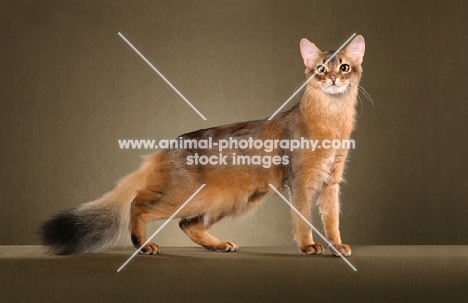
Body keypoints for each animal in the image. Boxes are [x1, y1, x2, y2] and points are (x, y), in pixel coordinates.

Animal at [42, 36, 366, 258]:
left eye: (344, 67)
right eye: (320, 69)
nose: (333, 78)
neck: (332, 121)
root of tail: (166, 147)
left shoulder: (331, 181)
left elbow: (332, 219)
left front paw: (337, 245)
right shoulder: (300, 181)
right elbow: (302, 218)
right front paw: (309, 245)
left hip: (226, 199)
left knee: (187, 225)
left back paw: (218, 245)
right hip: (187, 196)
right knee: (139, 203)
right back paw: (143, 245)